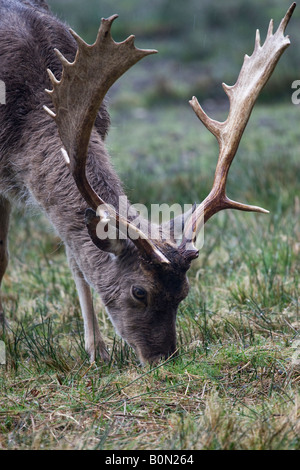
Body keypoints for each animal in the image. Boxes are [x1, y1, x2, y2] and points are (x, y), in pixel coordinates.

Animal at [0, 0, 296, 364]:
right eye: (139, 291)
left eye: (184, 292)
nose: (164, 358)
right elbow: (3, 258)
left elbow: (77, 259)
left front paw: (97, 352)